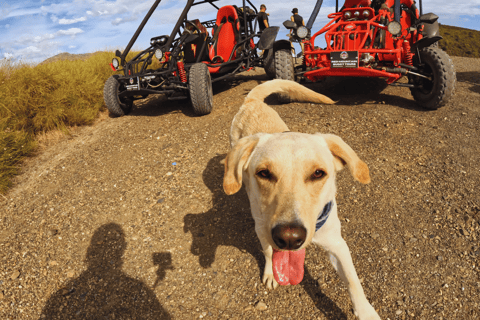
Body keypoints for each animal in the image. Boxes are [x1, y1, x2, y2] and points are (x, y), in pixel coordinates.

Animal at [224, 79, 378, 318]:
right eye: (264, 173)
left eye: (318, 173)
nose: (288, 238)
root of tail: (252, 100)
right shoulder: (262, 229)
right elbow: (269, 251)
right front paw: (271, 273)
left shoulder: (337, 244)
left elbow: (353, 281)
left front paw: (366, 312)